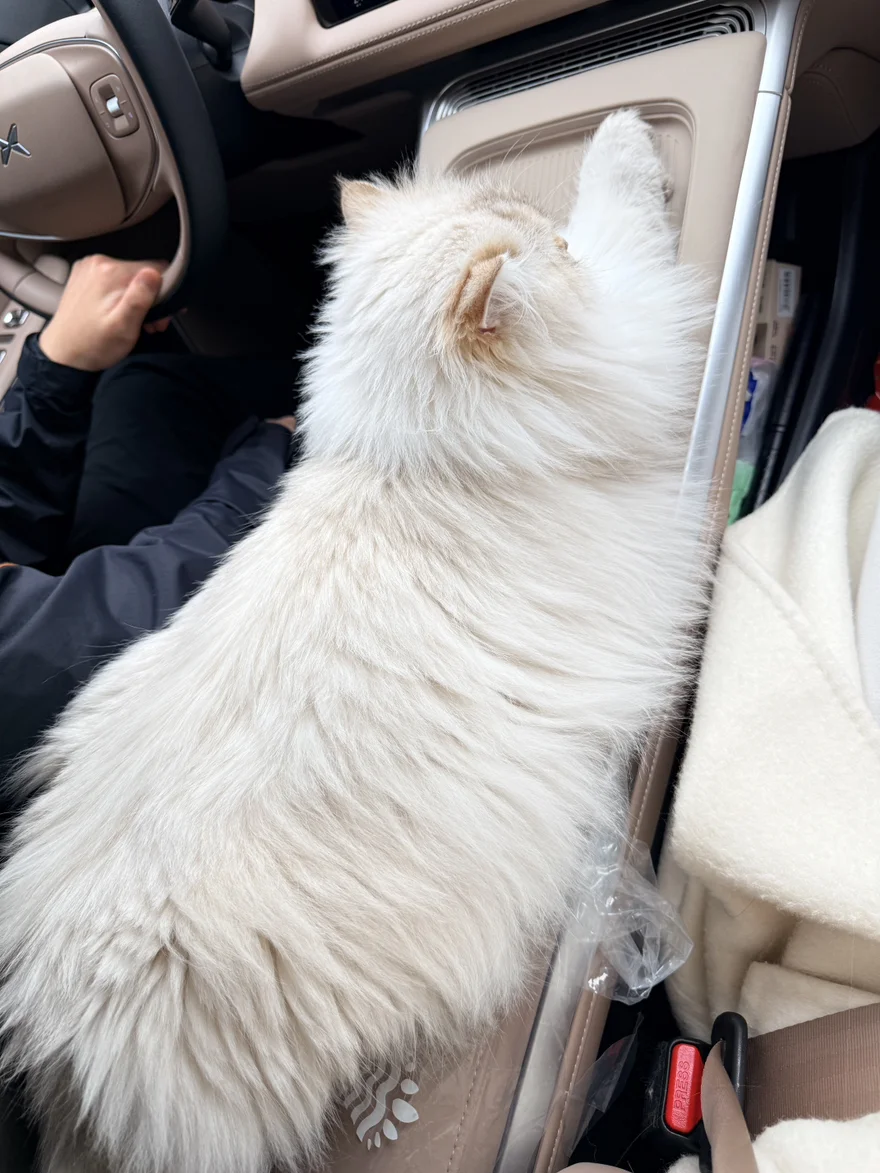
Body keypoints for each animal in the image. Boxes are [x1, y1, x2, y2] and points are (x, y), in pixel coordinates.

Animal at [0, 110, 710, 1173]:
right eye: (556, 250)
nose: (545, 232)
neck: (404, 459)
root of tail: (53, 1048)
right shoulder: (630, 329)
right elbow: (625, 222)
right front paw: (622, 136)